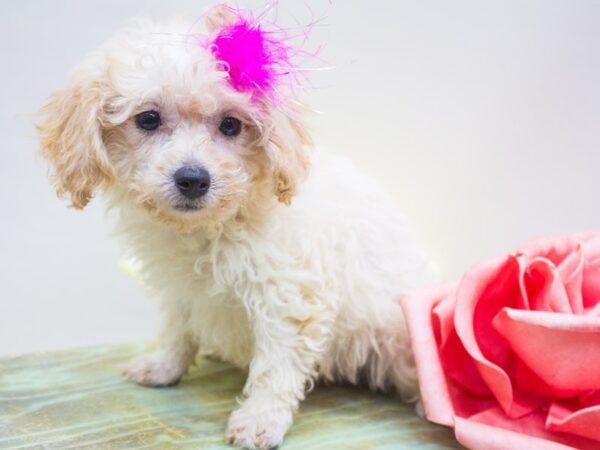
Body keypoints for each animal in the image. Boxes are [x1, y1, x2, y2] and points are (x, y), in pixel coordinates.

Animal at [36, 7, 432, 450]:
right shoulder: (179, 288)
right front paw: (164, 366)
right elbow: (176, 328)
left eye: (231, 125)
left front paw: (260, 419)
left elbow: (276, 366)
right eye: (148, 119)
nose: (193, 178)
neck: (210, 228)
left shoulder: (288, 296)